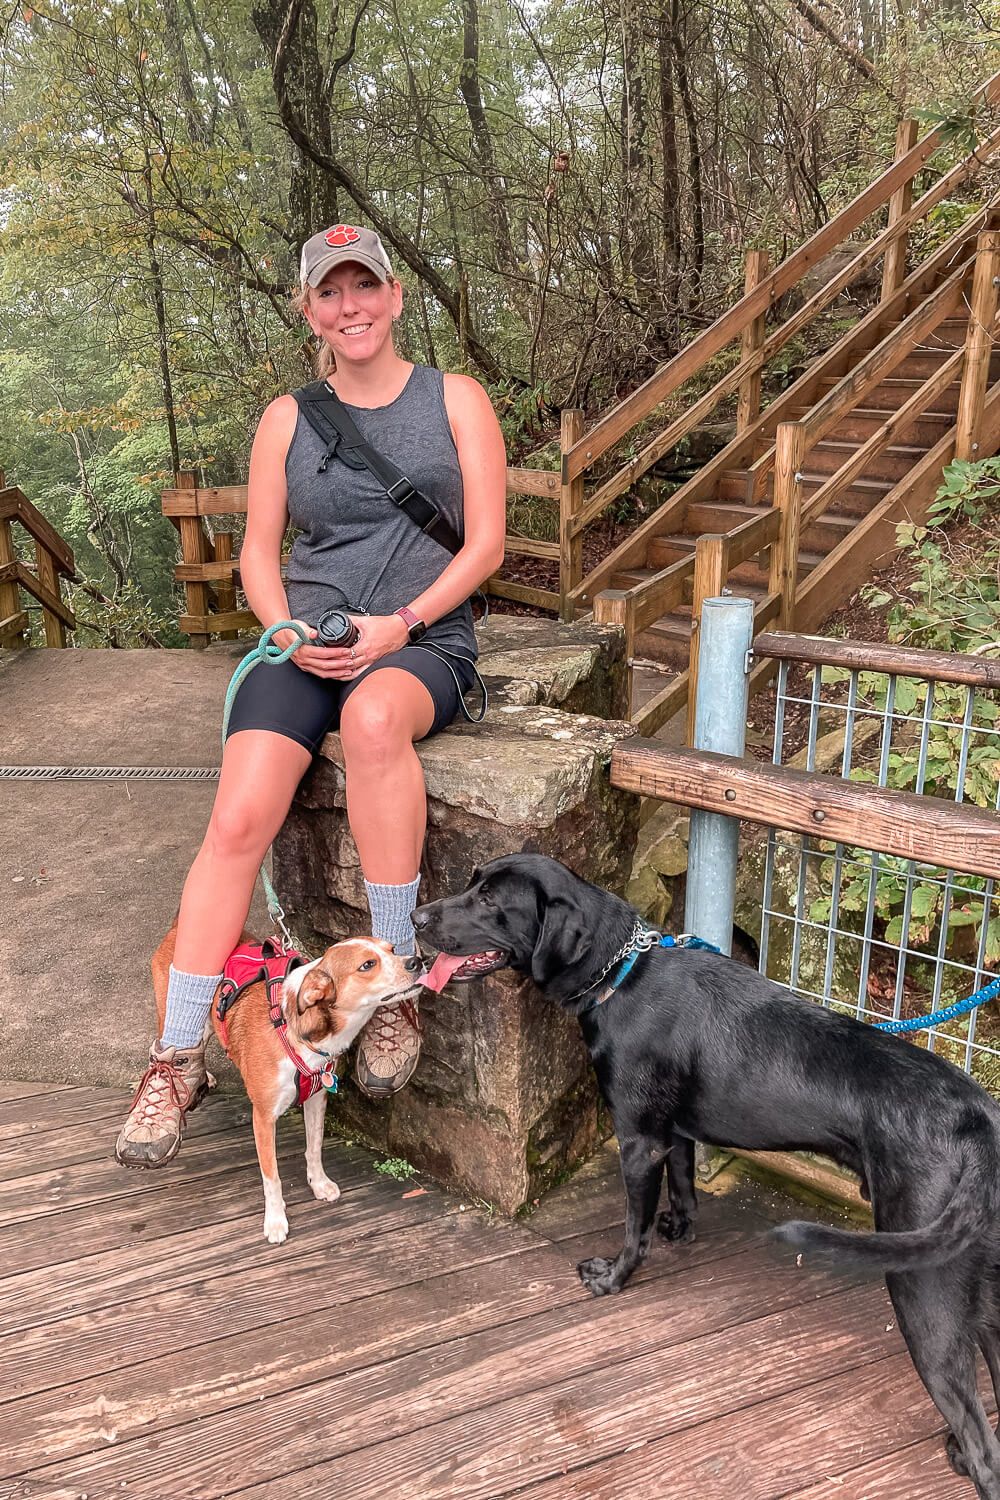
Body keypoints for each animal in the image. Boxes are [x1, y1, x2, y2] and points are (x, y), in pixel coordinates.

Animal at [152, 924, 422, 1242]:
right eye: (367, 965)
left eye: (392, 949)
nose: (416, 962)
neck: (298, 1034)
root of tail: (176, 928)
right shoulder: (263, 1117)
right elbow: (272, 1177)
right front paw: (275, 1220)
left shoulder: (317, 1098)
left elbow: (314, 1146)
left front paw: (319, 1183)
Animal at [413, 858, 1000, 1500]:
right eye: (473, 882)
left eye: (491, 900)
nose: (415, 917)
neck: (623, 970)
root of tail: (978, 1124)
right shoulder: (673, 1134)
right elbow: (684, 1186)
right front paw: (679, 1227)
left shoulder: (638, 1140)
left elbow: (634, 1225)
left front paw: (613, 1277)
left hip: (925, 1290)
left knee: (982, 1441)